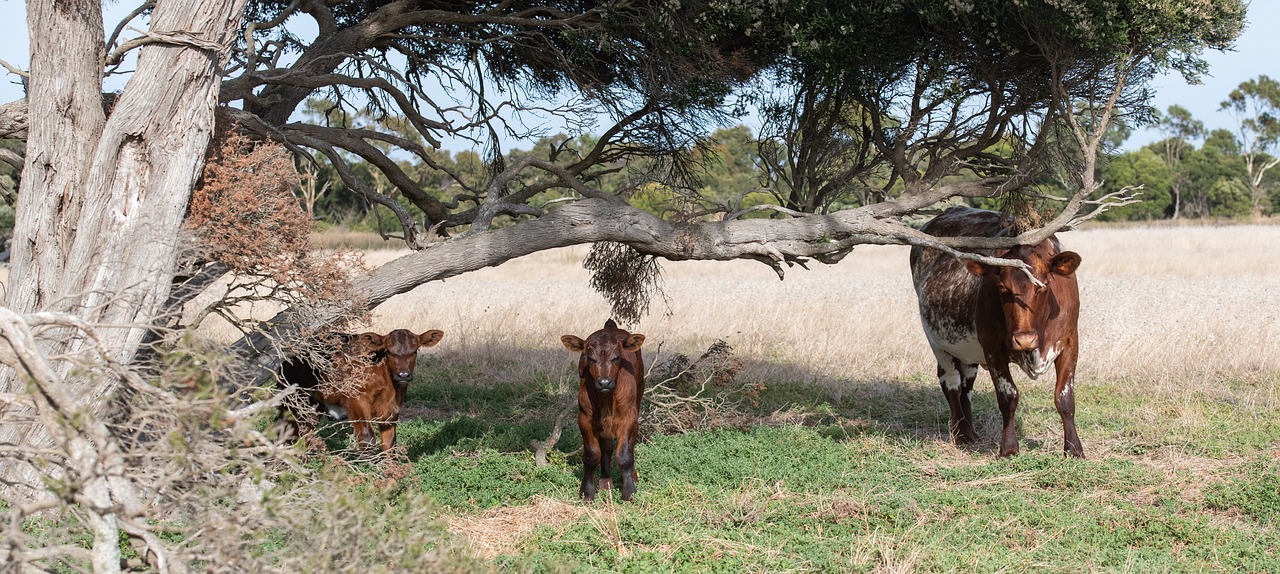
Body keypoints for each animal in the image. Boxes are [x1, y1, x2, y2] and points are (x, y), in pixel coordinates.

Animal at [277, 328, 442, 453]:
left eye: (415, 351)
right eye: (388, 351)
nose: (403, 375)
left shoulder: (391, 409)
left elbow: (389, 443)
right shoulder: (357, 401)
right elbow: (367, 437)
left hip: (313, 408)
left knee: (303, 434)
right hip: (291, 403)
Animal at [560, 317, 645, 502]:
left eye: (617, 357)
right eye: (590, 358)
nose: (604, 382)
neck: (607, 399)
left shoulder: (628, 416)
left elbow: (625, 454)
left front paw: (629, 492)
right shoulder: (584, 417)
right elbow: (592, 455)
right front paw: (587, 492)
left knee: (631, 443)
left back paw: (633, 476)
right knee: (606, 446)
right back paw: (606, 481)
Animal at [906, 206, 1085, 456]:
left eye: (1044, 285)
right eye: (1002, 287)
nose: (1024, 340)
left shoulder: (1070, 342)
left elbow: (1065, 397)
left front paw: (1074, 448)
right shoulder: (992, 348)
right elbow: (1008, 396)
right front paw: (1008, 448)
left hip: (968, 350)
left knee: (966, 385)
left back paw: (970, 430)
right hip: (937, 341)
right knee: (951, 382)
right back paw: (962, 433)